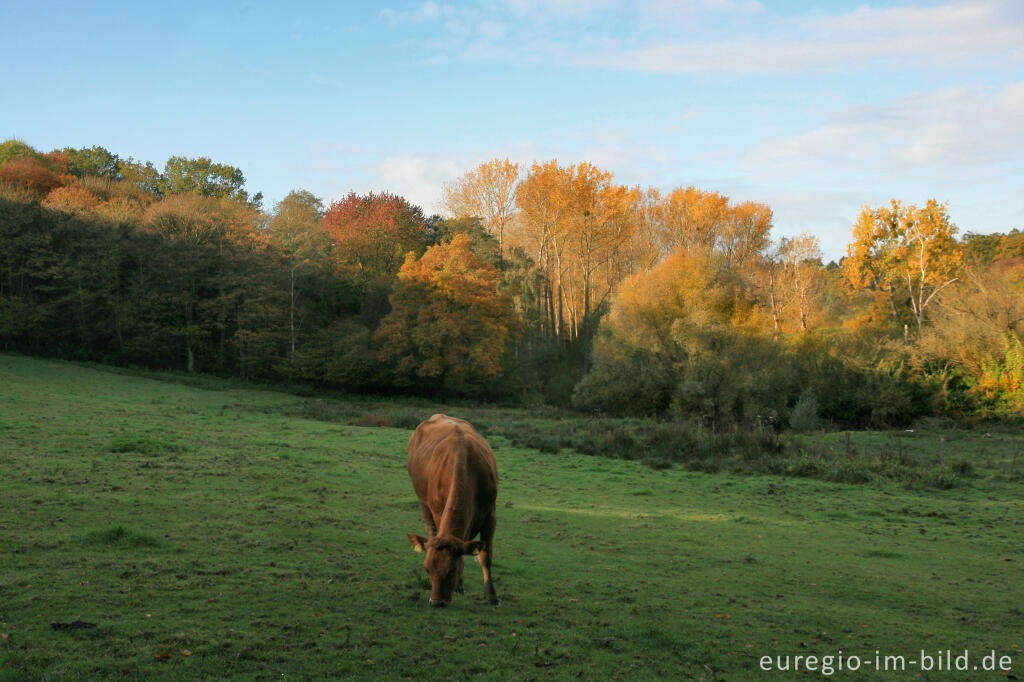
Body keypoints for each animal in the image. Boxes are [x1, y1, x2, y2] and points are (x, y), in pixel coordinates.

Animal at [409, 411, 501, 602]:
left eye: (452, 570)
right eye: (427, 569)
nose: (436, 602)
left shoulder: (490, 515)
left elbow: (486, 556)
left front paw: (491, 595)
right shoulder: (438, 511)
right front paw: (459, 585)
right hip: (423, 503)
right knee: (431, 530)